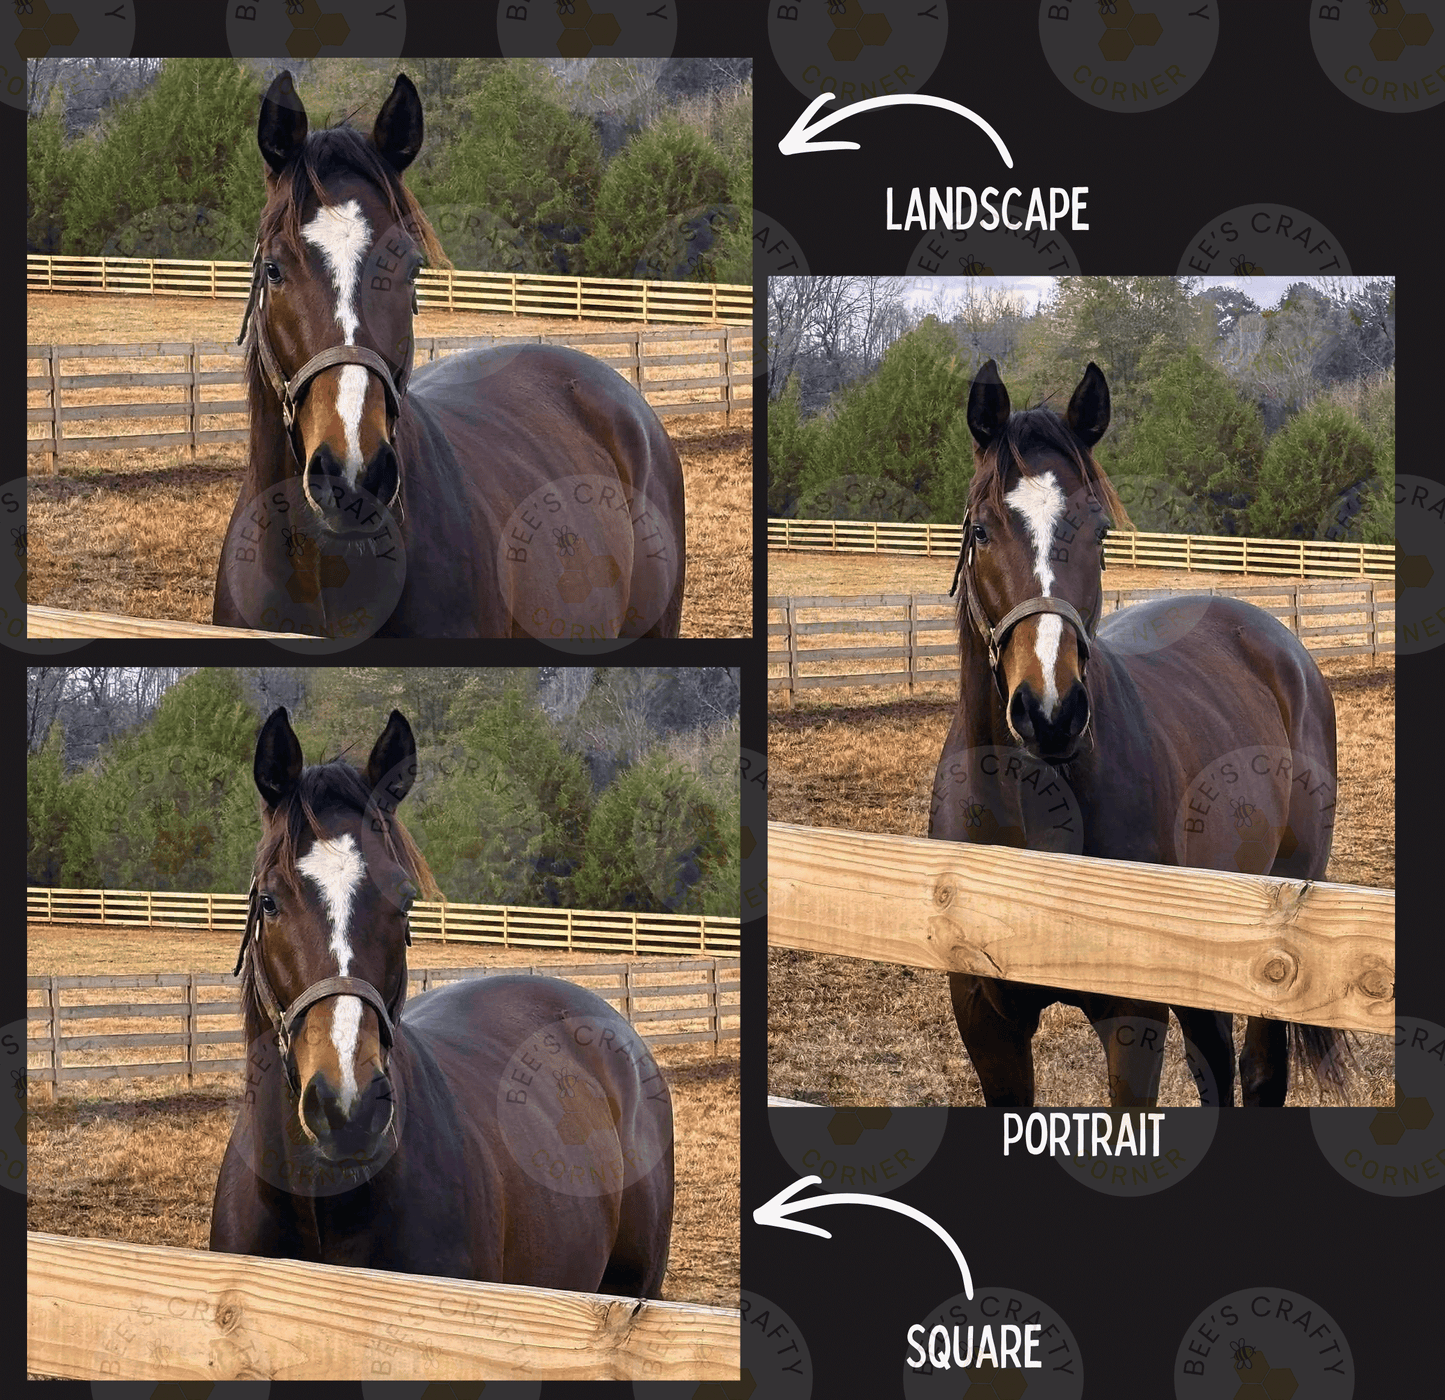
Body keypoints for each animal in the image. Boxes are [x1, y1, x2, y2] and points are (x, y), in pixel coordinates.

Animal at [928, 360, 1348, 1108]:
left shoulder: (1133, 1018)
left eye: (1098, 532)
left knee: (1260, 1073)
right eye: (980, 531)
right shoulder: (985, 1019)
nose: (1050, 710)